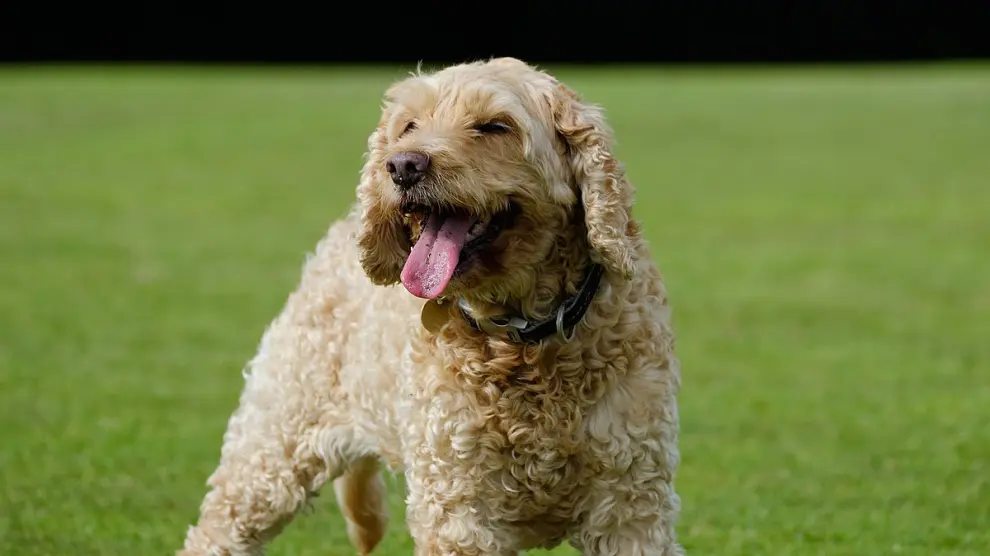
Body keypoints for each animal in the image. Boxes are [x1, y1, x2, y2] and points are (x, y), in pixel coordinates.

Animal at [177, 57, 683, 556]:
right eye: (410, 126)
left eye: (495, 126)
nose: (403, 165)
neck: (519, 337)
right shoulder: (458, 505)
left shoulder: (631, 505)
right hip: (274, 446)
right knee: (218, 528)